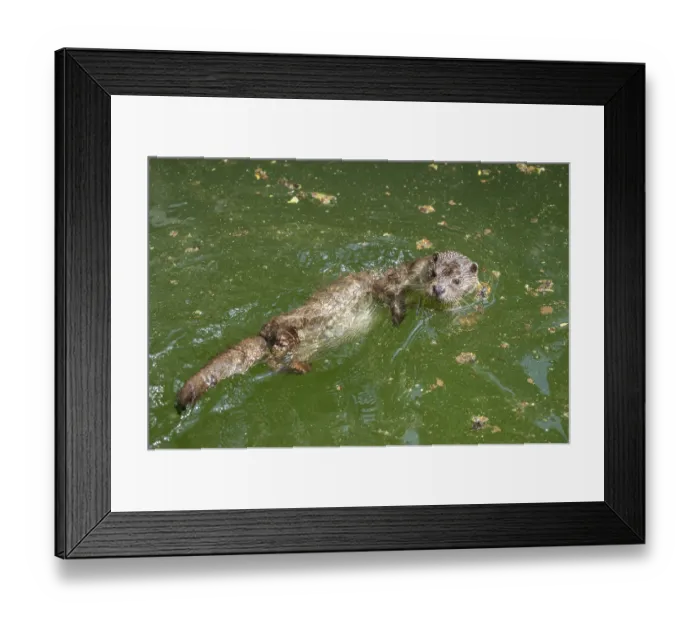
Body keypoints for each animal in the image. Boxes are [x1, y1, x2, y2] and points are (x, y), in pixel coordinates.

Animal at [175, 251, 480, 411]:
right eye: (433, 273)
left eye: (456, 280)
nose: (438, 289)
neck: (410, 284)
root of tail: (265, 333)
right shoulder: (388, 284)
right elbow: (389, 295)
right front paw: (397, 316)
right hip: (291, 329)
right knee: (276, 357)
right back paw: (299, 367)